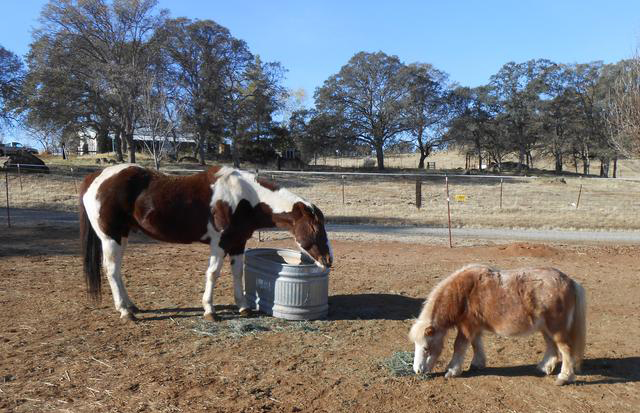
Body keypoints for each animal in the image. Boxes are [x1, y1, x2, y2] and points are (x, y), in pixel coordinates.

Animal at [79, 164, 333, 322]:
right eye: (314, 228)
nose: (328, 260)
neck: (245, 198)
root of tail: (95, 178)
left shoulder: (238, 243)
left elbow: (237, 272)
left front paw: (243, 307)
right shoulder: (219, 244)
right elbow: (213, 274)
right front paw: (210, 310)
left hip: (121, 236)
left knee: (117, 271)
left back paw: (131, 306)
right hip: (111, 238)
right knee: (112, 270)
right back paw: (125, 312)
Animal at [409, 264, 586, 385]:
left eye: (426, 348)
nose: (417, 371)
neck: (464, 293)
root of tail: (570, 281)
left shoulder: (467, 327)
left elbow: (459, 346)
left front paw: (452, 370)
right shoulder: (474, 327)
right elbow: (476, 344)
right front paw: (477, 363)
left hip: (557, 329)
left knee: (566, 349)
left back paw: (564, 377)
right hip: (546, 328)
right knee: (552, 347)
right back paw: (544, 367)